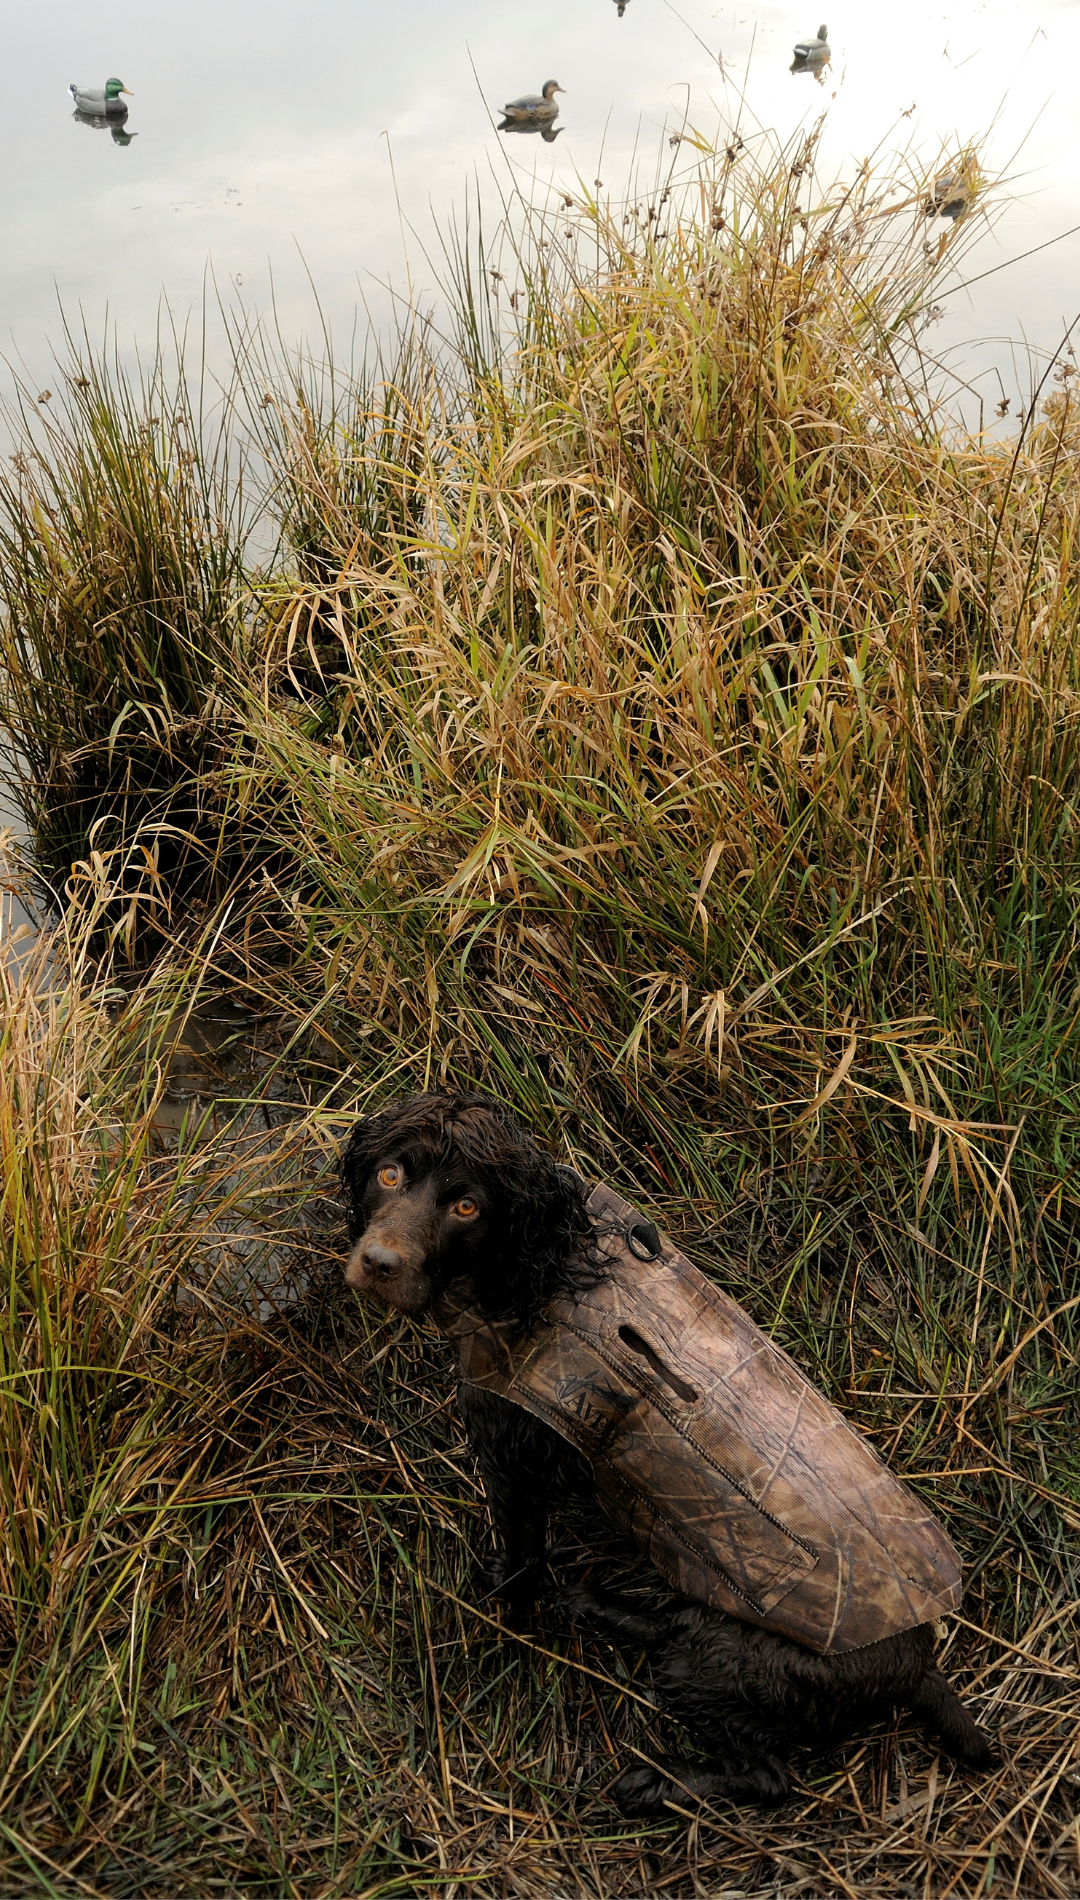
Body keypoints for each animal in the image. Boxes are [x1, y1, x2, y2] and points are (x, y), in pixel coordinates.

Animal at [342, 1086, 988, 1808]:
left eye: (467, 1206)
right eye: (389, 1174)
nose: (379, 1265)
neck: (550, 1269)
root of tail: (919, 1660)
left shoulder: (511, 1456)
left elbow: (521, 1559)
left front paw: (500, 1603)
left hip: (724, 1664)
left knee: (767, 1773)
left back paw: (652, 1781)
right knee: (676, 1623)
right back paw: (597, 1607)